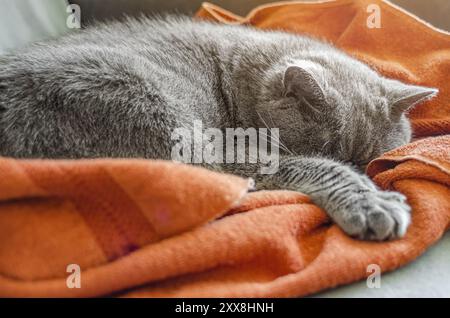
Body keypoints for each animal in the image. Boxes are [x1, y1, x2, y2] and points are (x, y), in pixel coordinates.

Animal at [0, 16, 436, 240]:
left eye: (368, 159)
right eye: (331, 151)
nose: (363, 171)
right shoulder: (234, 148)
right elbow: (312, 167)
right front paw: (373, 203)